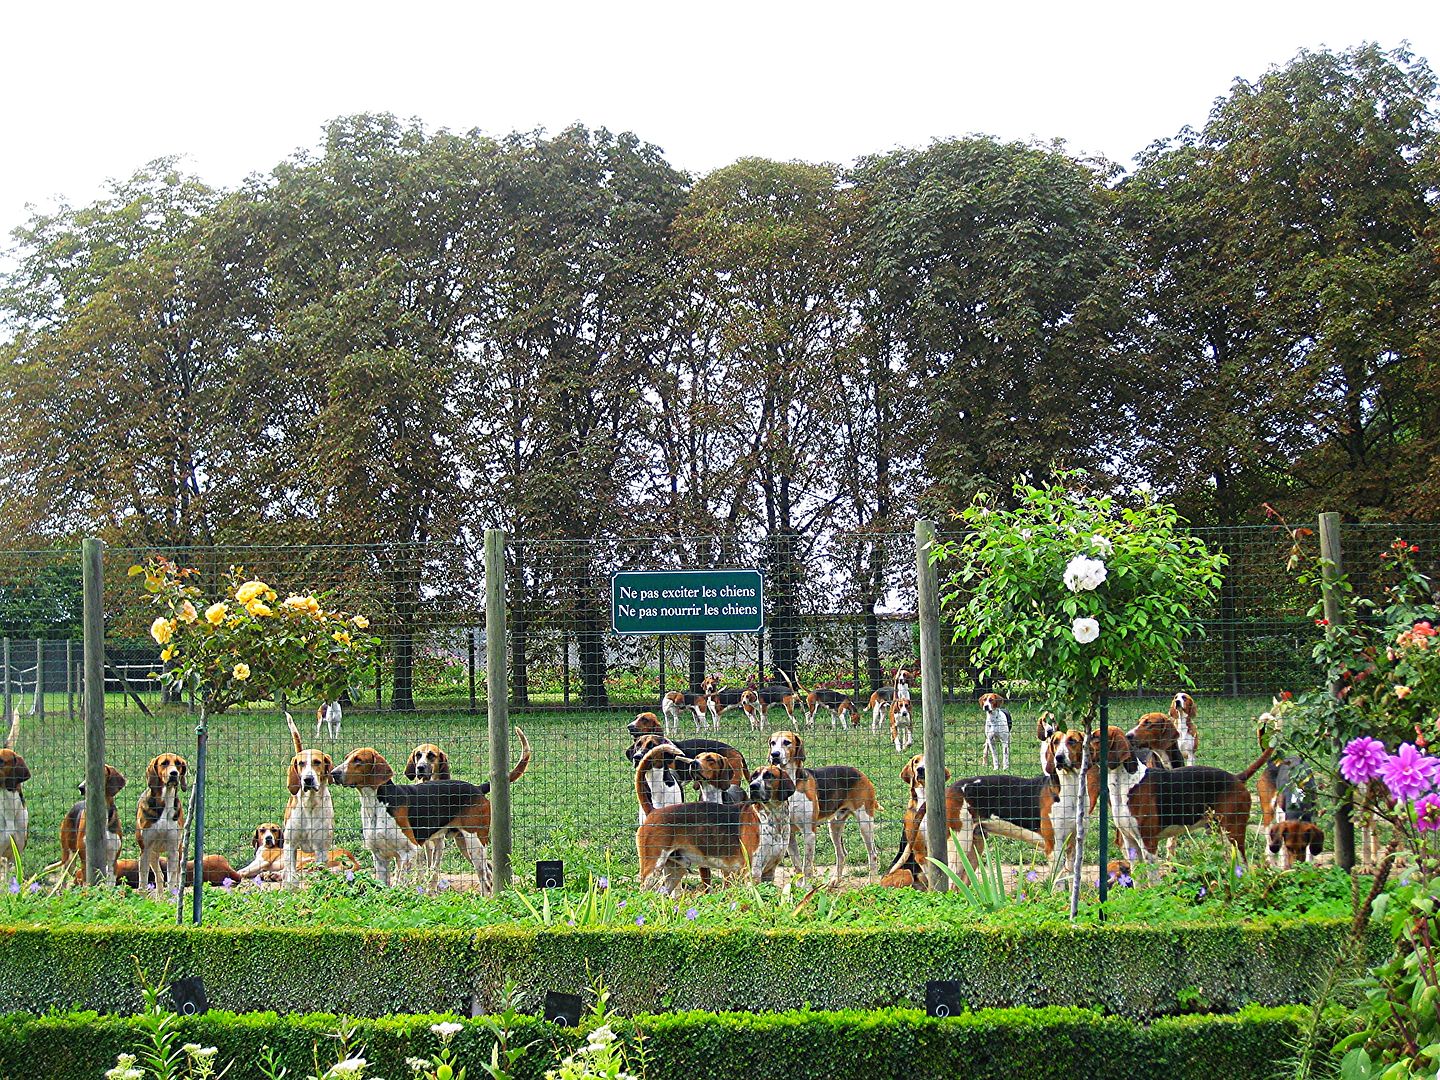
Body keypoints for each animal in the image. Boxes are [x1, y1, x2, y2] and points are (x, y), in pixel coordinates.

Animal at [133, 754, 187, 898]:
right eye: (164, 763)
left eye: (178, 764)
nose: (174, 773)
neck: (165, 799)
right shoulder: (145, 850)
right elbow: (143, 881)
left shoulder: (173, 850)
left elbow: (172, 880)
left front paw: (172, 899)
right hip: (152, 853)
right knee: (159, 877)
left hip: (179, 852)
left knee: (174, 876)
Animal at [277, 720, 331, 887]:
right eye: (301, 763)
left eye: (317, 762)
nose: (308, 779)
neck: (310, 803)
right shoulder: (290, 845)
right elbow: (291, 876)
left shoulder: (321, 849)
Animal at [766, 728, 875, 887]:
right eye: (772, 743)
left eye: (787, 742)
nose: (774, 755)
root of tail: (861, 773)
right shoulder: (789, 835)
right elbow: (797, 864)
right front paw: (799, 887)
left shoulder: (809, 833)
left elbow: (807, 865)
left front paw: (807, 887)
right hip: (834, 826)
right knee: (841, 854)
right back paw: (836, 879)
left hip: (865, 824)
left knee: (873, 854)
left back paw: (872, 881)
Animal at [1088, 728, 1272, 864]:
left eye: (1095, 738)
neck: (1126, 782)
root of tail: (1236, 778)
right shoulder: (1130, 842)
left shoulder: (1148, 843)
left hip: (1233, 834)